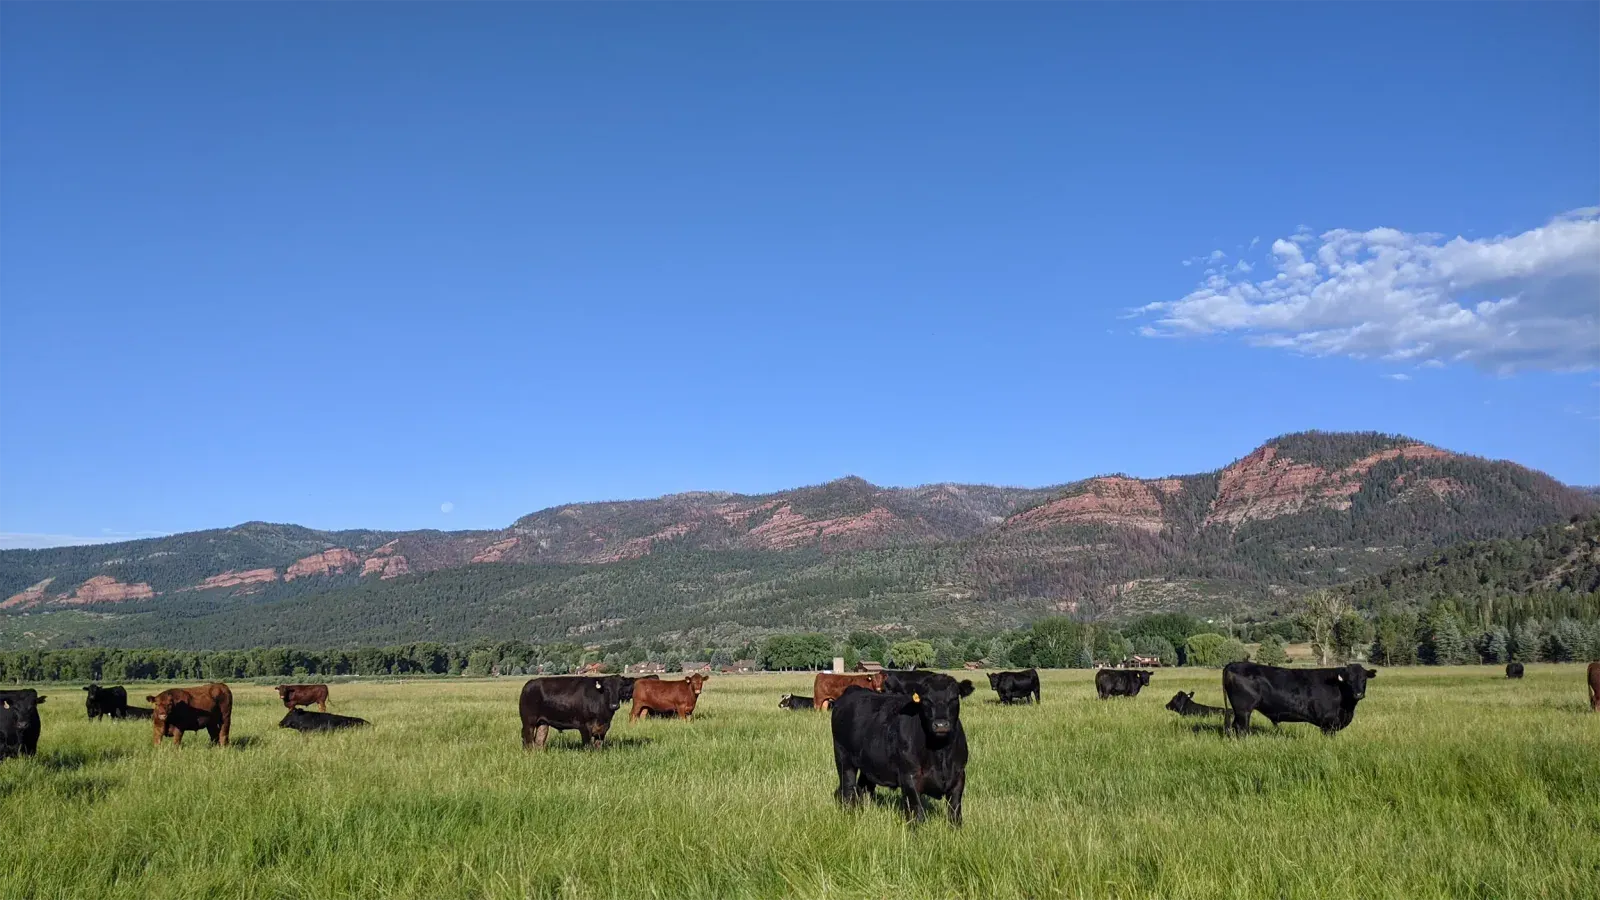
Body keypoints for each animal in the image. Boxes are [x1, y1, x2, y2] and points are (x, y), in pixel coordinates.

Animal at [830, 674, 975, 825]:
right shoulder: (909, 776)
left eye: (954, 698)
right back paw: (849, 814)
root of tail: (853, 690)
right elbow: (916, 811)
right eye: (925, 699)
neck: (940, 752)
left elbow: (955, 810)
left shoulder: (959, 775)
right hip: (842, 757)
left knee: (863, 788)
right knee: (848, 788)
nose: (941, 725)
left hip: (869, 763)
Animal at [1222, 661, 1376, 736]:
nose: (1358, 694)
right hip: (1243, 710)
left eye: (1364, 679)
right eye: (1349, 681)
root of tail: (1233, 664)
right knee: (1241, 727)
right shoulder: (1328, 723)